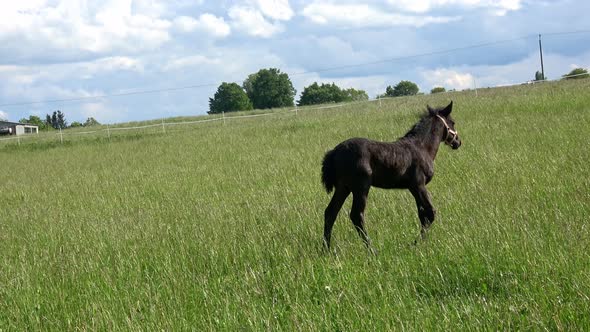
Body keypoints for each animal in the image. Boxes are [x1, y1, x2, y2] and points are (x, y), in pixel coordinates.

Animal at [324, 101, 462, 249]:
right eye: (453, 122)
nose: (458, 142)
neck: (422, 147)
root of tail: (334, 152)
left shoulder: (413, 188)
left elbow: (422, 214)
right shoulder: (418, 185)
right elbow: (430, 213)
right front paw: (415, 244)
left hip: (343, 187)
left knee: (330, 212)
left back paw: (326, 249)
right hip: (360, 187)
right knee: (356, 215)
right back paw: (372, 249)